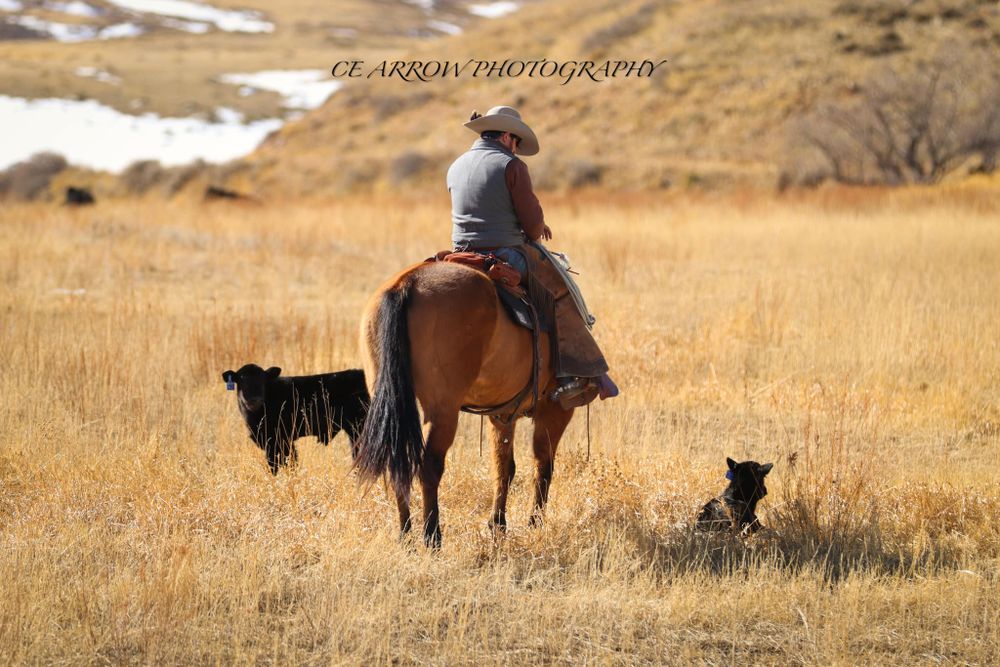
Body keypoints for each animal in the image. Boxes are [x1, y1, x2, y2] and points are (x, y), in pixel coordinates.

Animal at [353, 259, 575, 547]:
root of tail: (406, 285)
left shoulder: (502, 414)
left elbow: (504, 466)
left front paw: (498, 524)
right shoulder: (554, 410)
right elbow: (542, 464)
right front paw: (533, 524)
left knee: (398, 461)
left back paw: (405, 536)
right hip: (443, 410)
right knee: (429, 466)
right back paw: (432, 537)